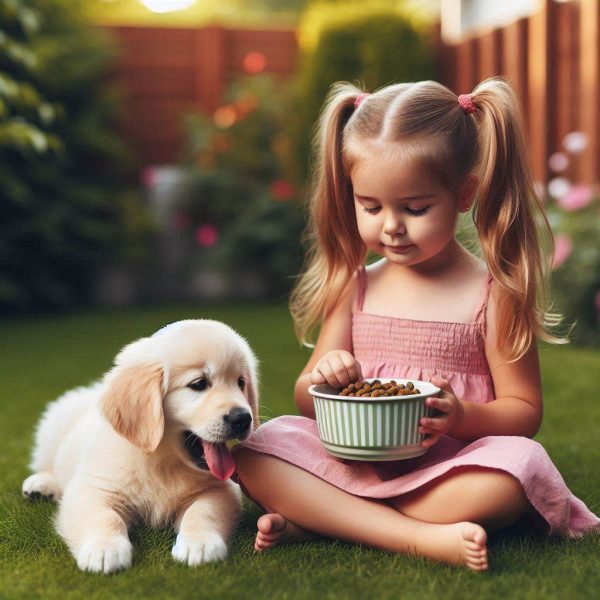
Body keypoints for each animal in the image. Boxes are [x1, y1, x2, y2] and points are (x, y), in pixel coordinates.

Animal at [21, 322, 258, 576]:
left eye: (241, 383)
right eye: (199, 384)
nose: (243, 419)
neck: (162, 460)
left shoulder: (219, 489)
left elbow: (203, 512)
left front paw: (200, 544)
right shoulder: (93, 488)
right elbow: (104, 516)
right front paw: (104, 549)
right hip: (55, 424)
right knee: (47, 464)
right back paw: (40, 485)